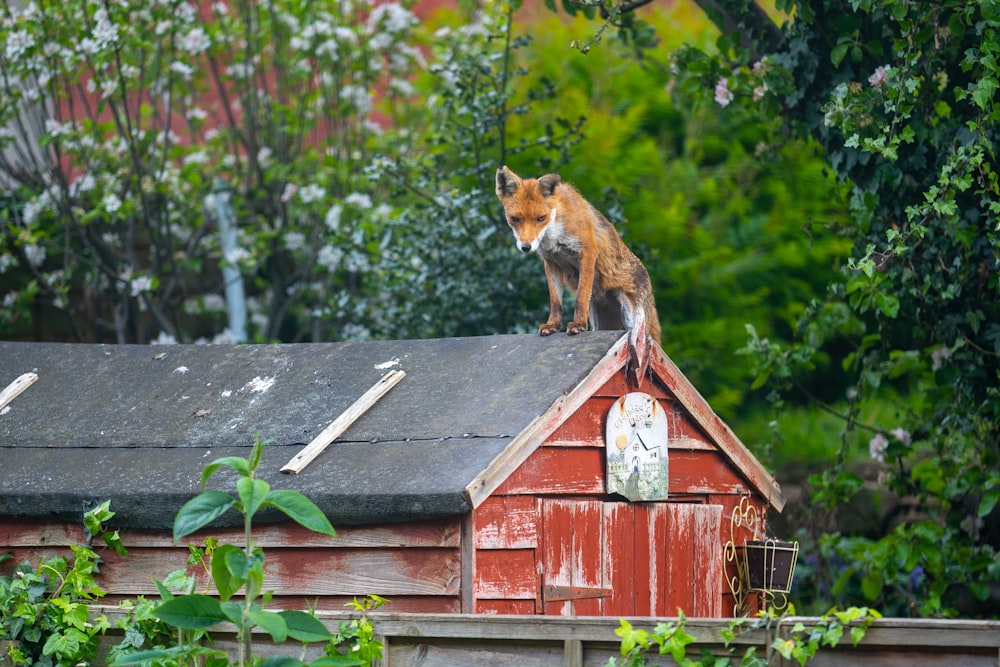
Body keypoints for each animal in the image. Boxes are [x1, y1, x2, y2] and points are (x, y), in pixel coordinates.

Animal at [494, 166, 664, 344]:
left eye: (541, 218)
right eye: (515, 219)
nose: (526, 247)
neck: (555, 235)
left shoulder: (588, 253)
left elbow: (580, 297)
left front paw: (579, 325)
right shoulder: (550, 261)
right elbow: (555, 302)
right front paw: (552, 326)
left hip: (632, 319)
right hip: (601, 323)